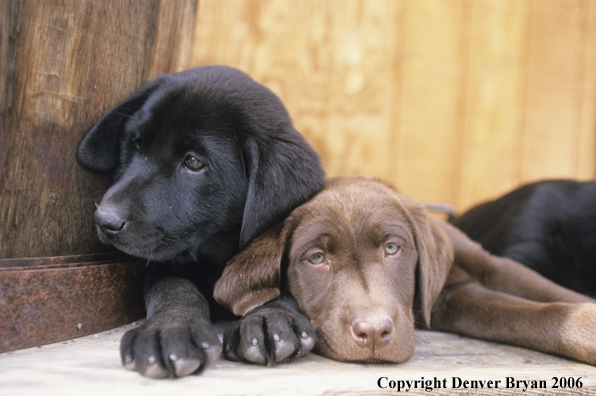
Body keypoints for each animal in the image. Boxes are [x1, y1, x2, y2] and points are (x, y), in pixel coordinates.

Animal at [78, 65, 326, 378]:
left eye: (194, 162)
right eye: (135, 144)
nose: (104, 220)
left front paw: (271, 315)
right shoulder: (165, 260)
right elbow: (174, 288)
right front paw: (170, 327)